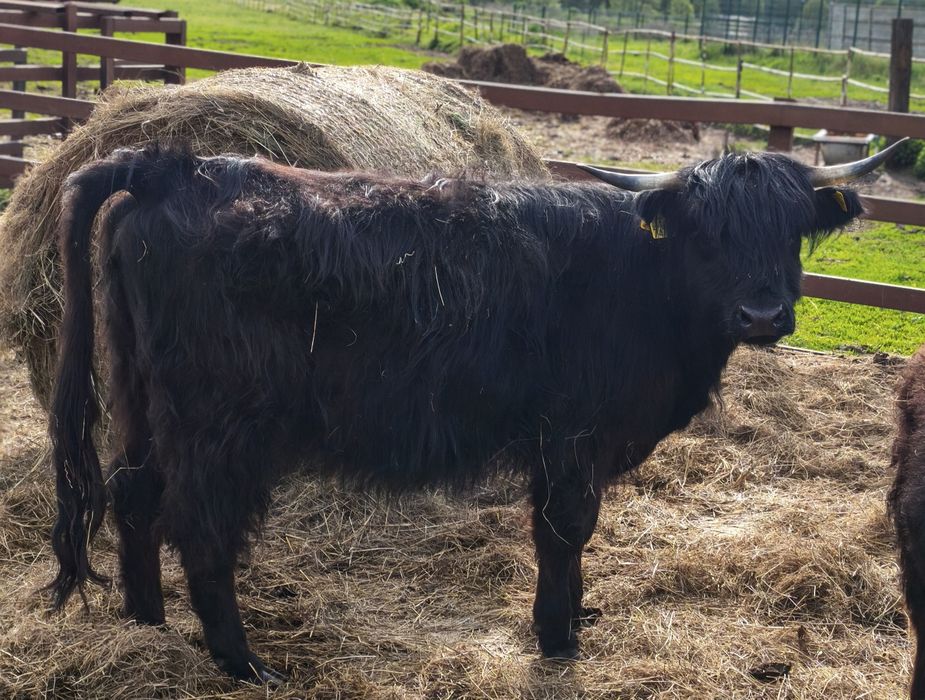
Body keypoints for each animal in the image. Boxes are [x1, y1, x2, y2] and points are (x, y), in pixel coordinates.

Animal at [48, 141, 899, 682]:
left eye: (789, 228)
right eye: (709, 233)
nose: (762, 314)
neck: (641, 282)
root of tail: (175, 167)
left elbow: (569, 537)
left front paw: (576, 617)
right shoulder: (572, 435)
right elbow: (564, 531)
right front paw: (557, 638)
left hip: (138, 397)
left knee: (133, 496)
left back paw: (146, 623)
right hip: (219, 426)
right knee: (201, 528)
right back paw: (242, 661)